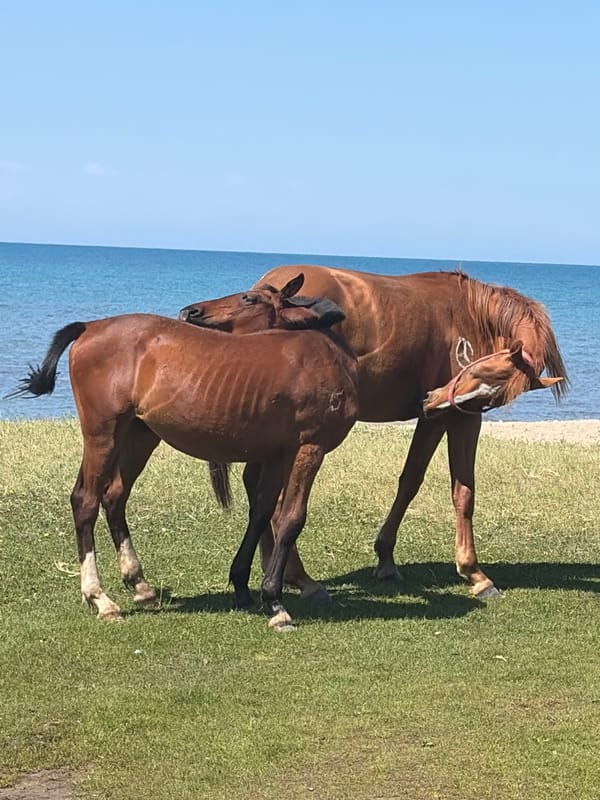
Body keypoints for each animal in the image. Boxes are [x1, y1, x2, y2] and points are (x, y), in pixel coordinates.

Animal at [11, 308, 359, 631]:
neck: (331, 356)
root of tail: (90, 326)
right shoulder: (308, 448)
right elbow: (290, 520)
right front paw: (275, 603)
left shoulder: (277, 454)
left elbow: (261, 513)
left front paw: (243, 586)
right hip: (102, 435)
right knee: (85, 501)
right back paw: (100, 598)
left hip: (136, 435)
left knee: (114, 497)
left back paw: (138, 582)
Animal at [180, 266, 567, 599]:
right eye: (473, 373)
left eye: (488, 391)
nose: (432, 398)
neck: (471, 311)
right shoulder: (459, 418)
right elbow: (463, 493)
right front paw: (474, 572)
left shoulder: (437, 417)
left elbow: (410, 481)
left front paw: (386, 558)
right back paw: (299, 577)